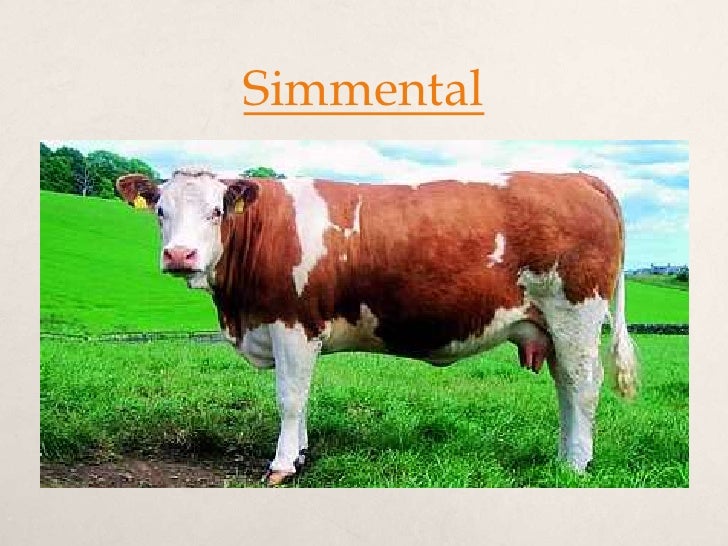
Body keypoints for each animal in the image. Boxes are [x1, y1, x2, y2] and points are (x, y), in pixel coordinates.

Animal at [116, 166, 638, 486]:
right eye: (160, 211)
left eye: (216, 211)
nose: (179, 255)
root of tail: (578, 177)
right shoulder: (298, 332)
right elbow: (303, 397)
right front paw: (301, 455)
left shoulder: (292, 324)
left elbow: (289, 398)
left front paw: (282, 466)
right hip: (553, 325)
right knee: (566, 386)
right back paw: (564, 457)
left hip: (575, 314)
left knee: (581, 386)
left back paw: (575, 465)